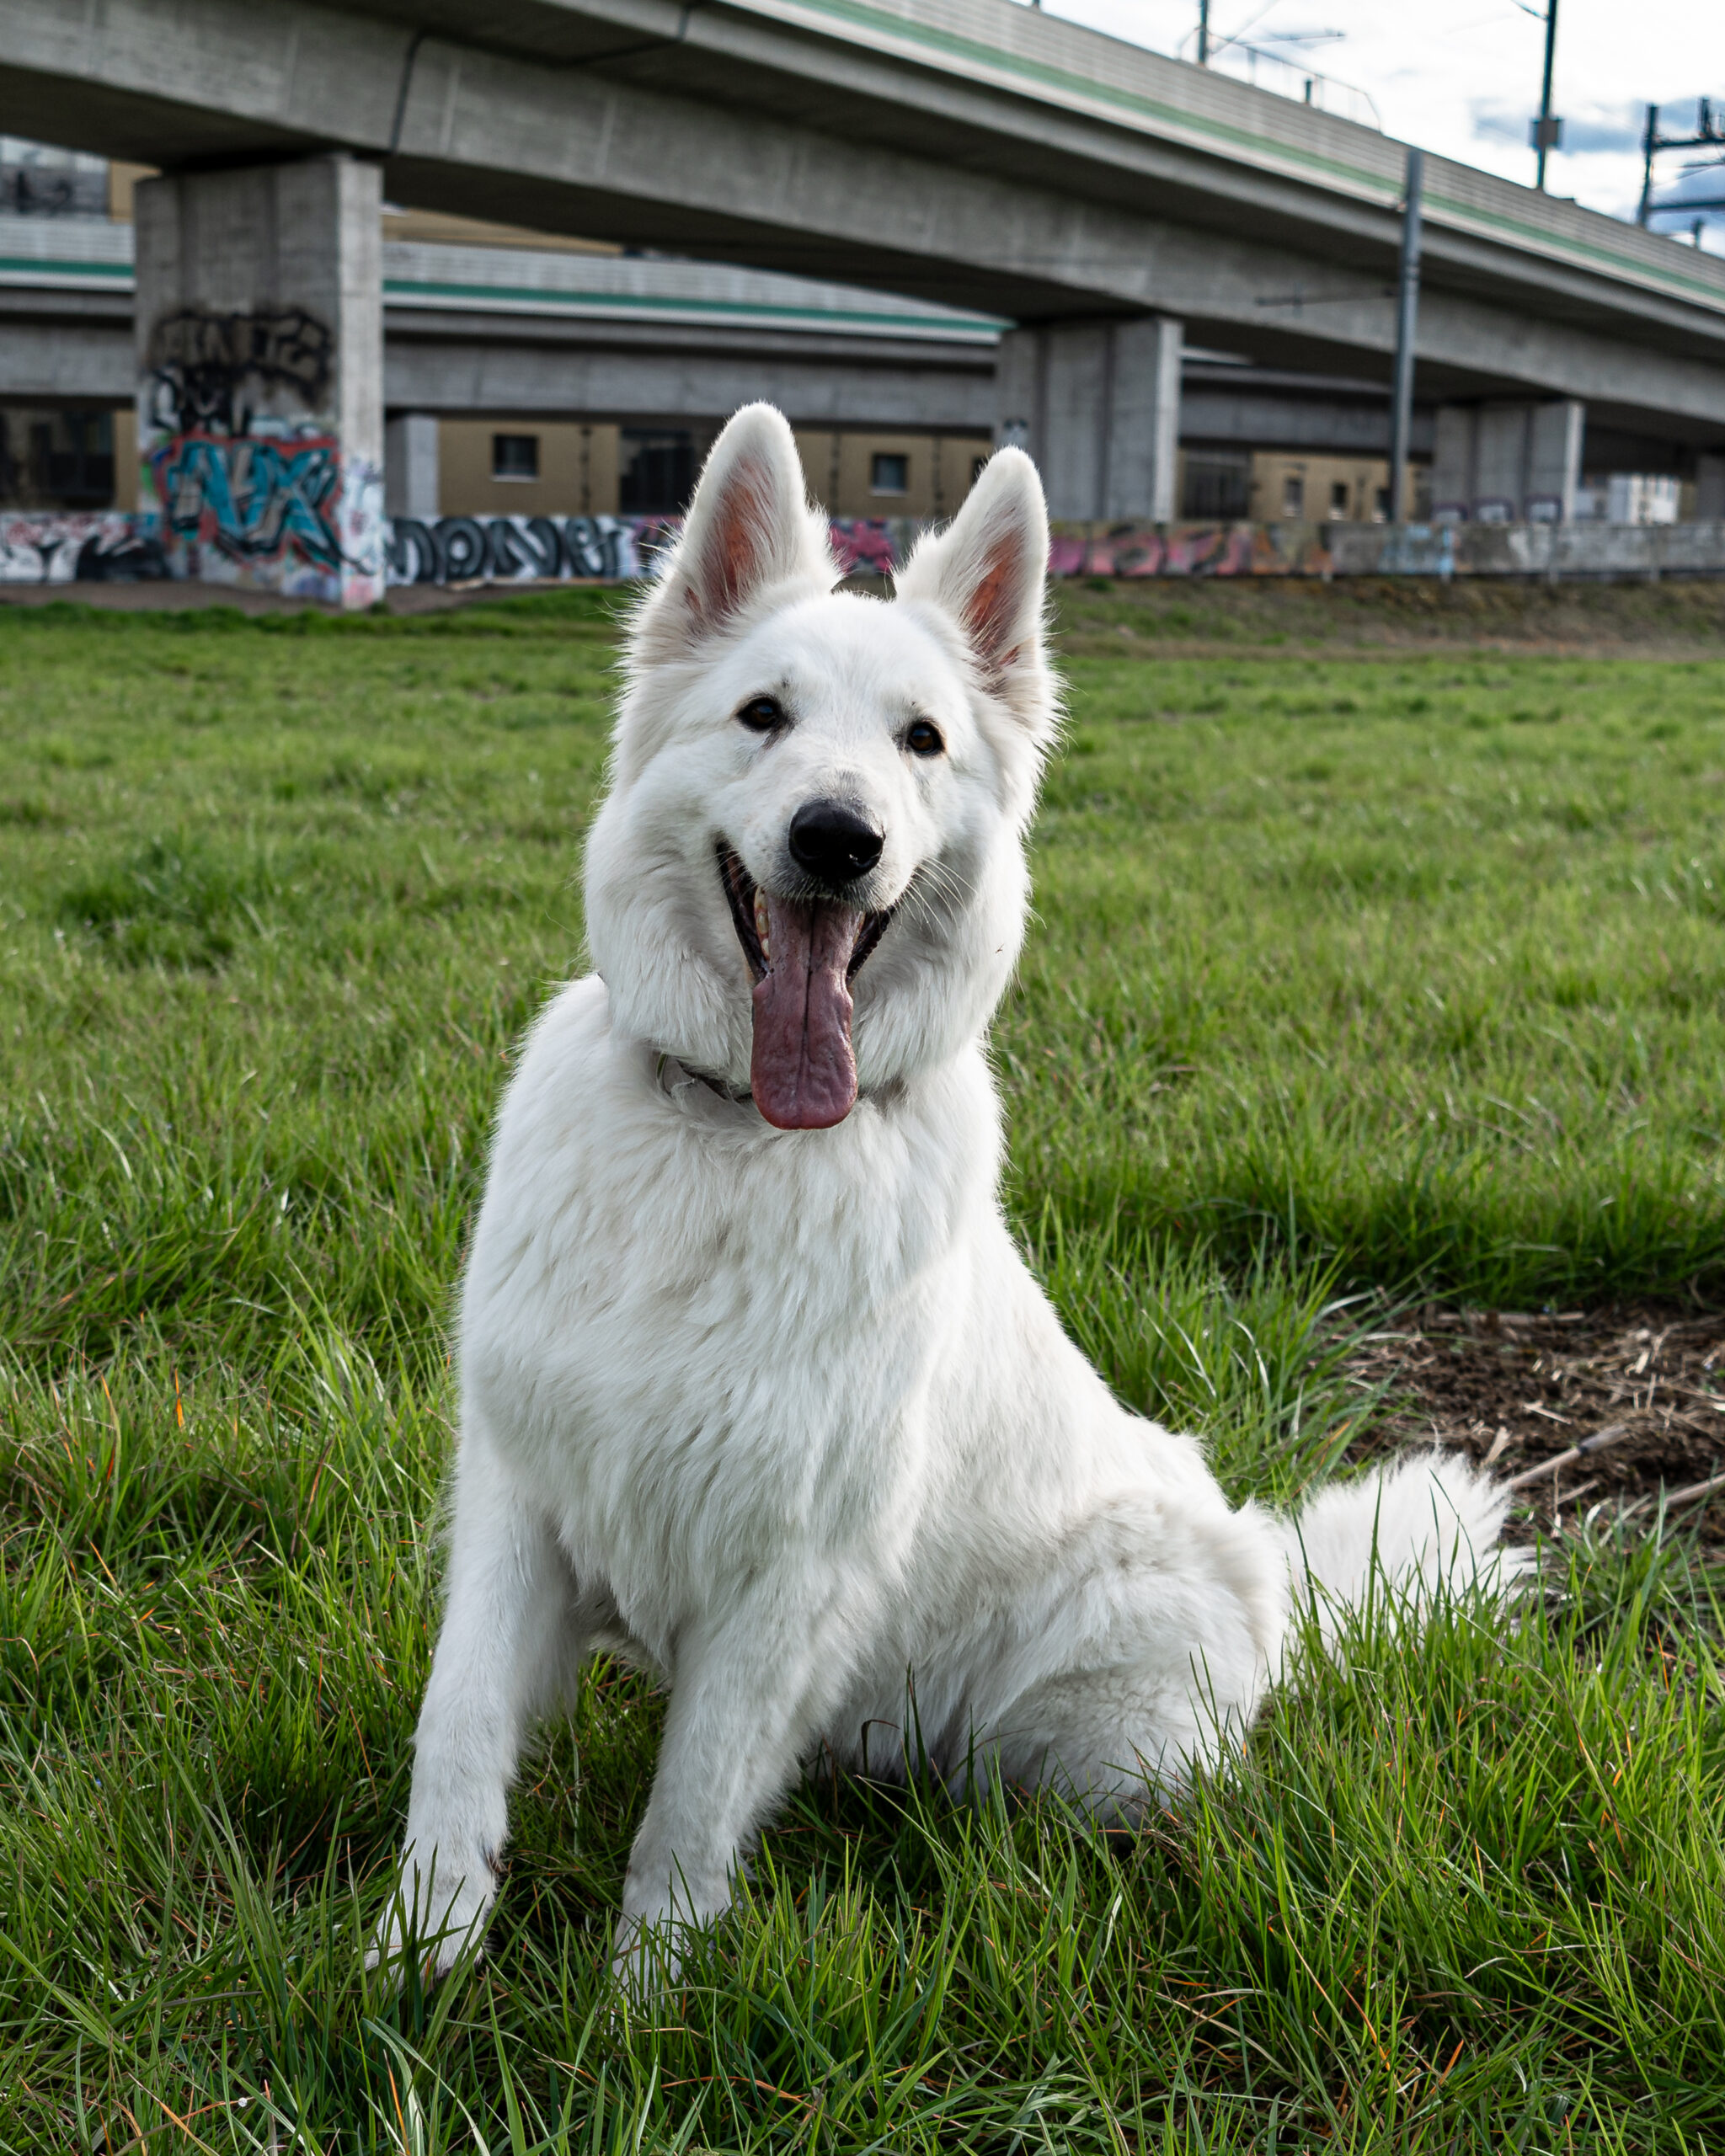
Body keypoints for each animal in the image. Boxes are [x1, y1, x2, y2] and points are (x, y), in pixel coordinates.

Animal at [372, 403, 1517, 1978]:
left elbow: (685, 1813)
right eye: (764, 716)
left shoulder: (790, 1577)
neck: (732, 1137)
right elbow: (458, 1734)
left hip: (1093, 1705)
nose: (837, 839)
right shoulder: (515, 1503)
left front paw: (641, 2002)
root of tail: (1273, 1584)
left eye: (921, 741)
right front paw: (412, 1963)